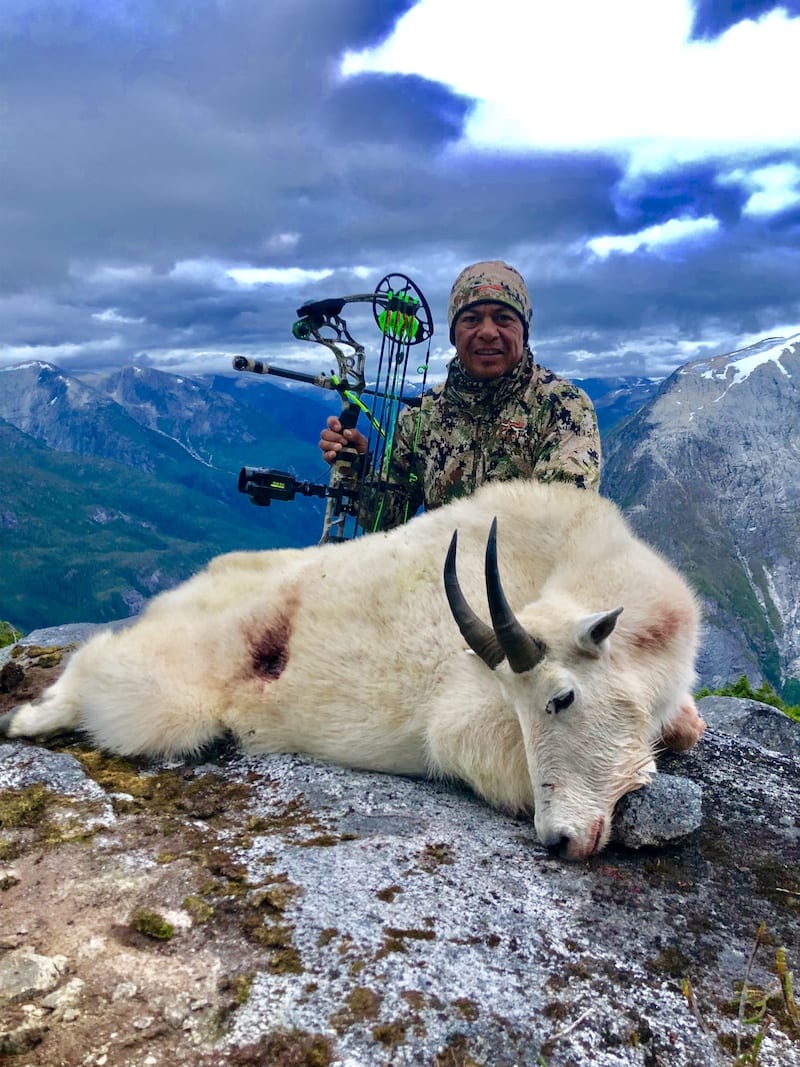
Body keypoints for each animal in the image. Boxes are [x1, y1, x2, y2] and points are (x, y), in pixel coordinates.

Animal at [1, 480, 699, 862]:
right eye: (528, 709)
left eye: (560, 700)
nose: (557, 840)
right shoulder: (460, 719)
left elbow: (686, 726)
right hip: (169, 699)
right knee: (99, 666)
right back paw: (28, 717)